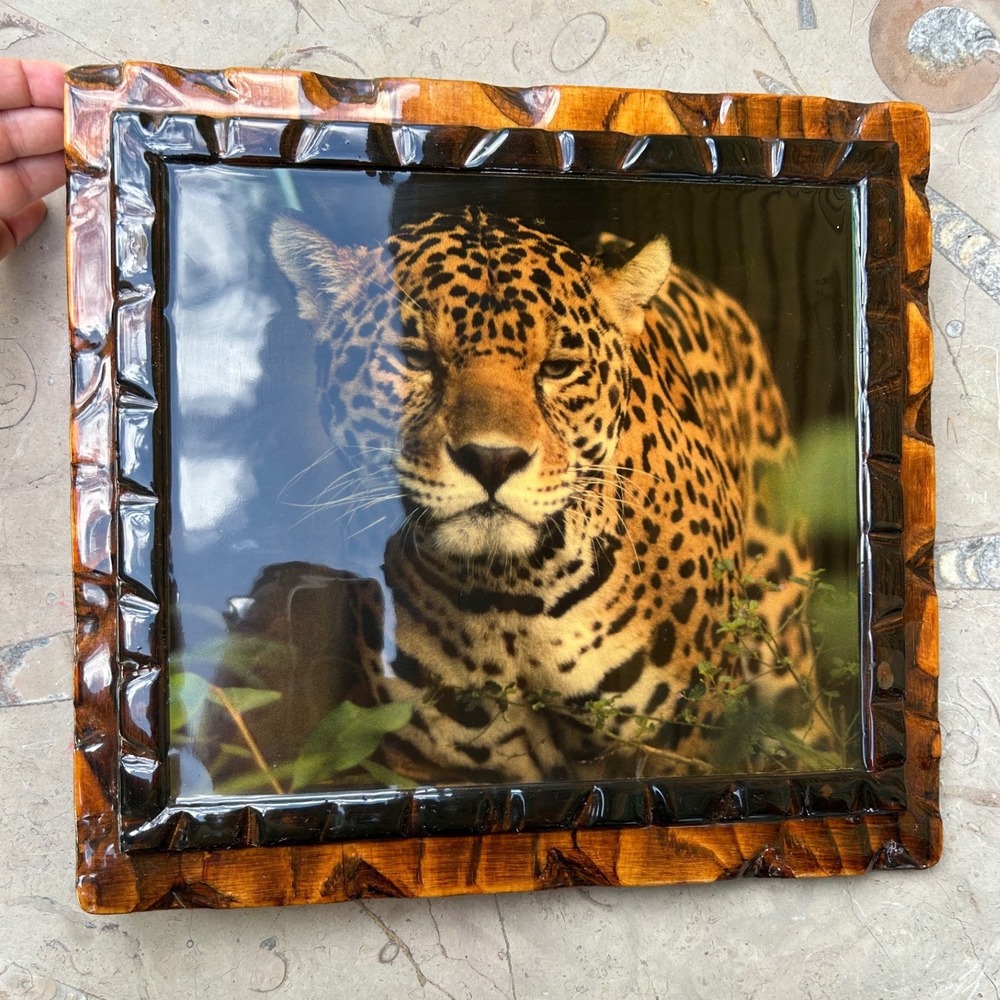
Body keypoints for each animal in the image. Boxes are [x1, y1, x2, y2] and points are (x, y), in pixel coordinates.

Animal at [270, 207, 838, 785]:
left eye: (558, 368)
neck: (511, 599)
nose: (492, 459)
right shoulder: (429, 763)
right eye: (414, 359)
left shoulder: (689, 736)